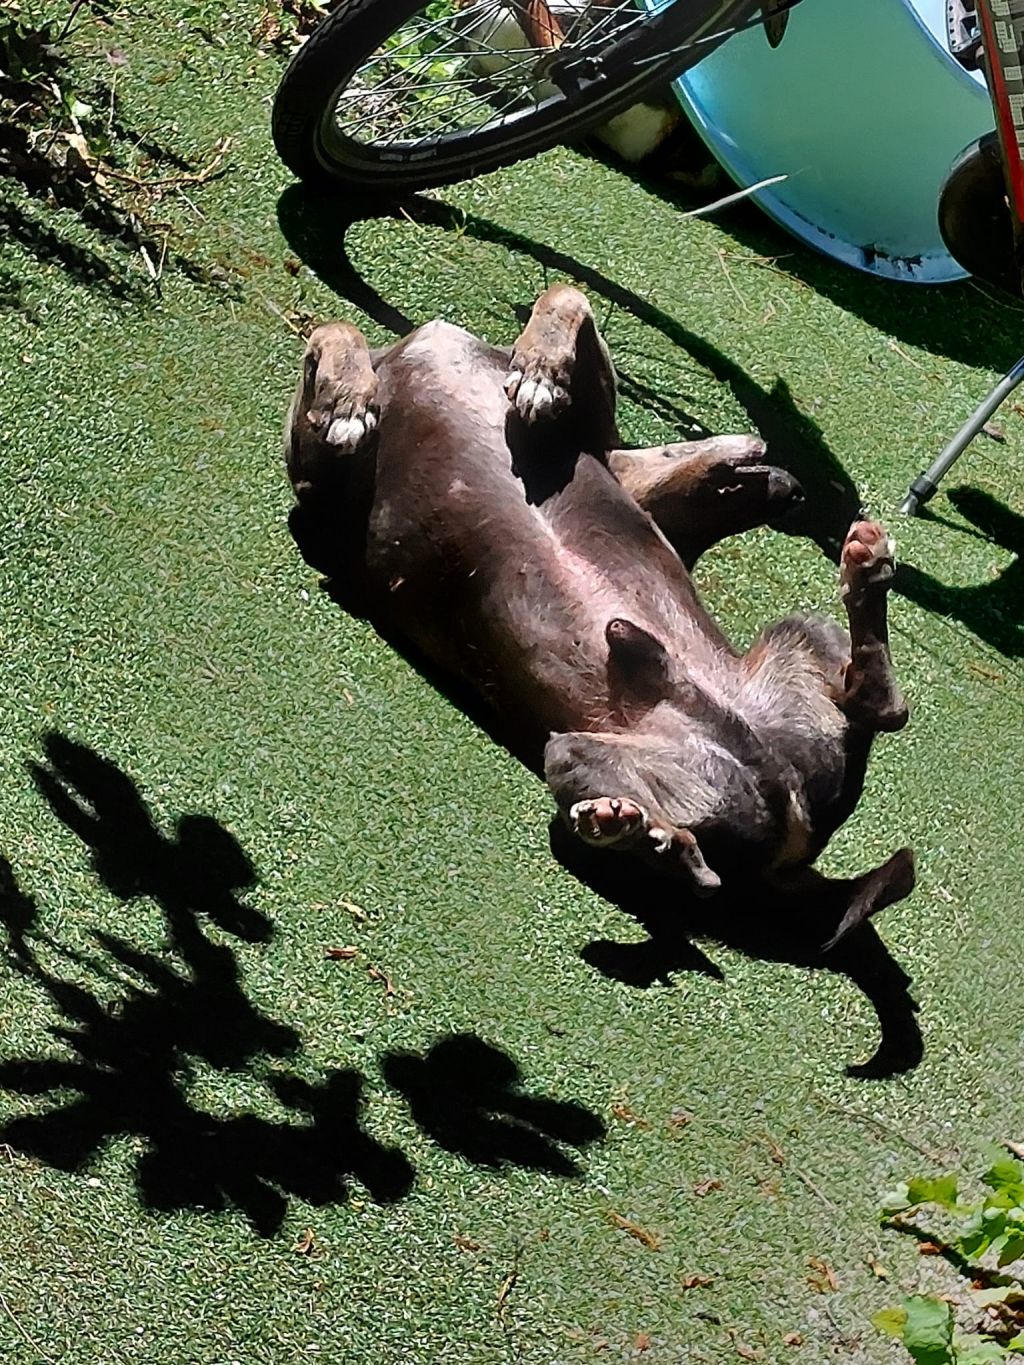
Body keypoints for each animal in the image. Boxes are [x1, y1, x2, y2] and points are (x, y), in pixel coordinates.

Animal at [285, 285, 913, 949]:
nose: (792, 485)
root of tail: (795, 834)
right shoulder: (322, 487)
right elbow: (337, 330)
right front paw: (350, 396)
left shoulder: (592, 430)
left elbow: (564, 296)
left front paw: (537, 369)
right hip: (585, 752)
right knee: (704, 866)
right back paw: (639, 828)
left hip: (785, 651)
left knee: (877, 716)